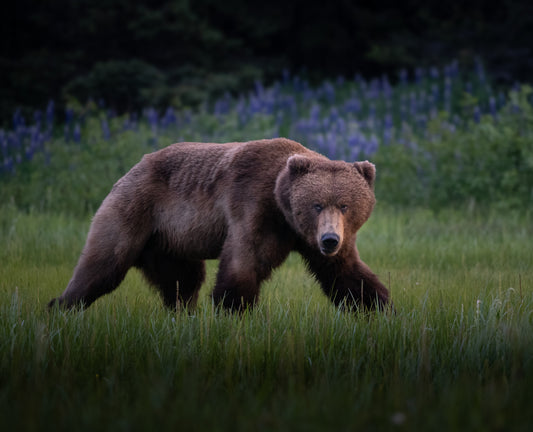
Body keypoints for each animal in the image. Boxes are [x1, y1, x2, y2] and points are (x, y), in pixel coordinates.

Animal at [48, 140, 390, 312]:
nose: (330, 239)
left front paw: (380, 308)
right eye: (316, 204)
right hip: (135, 210)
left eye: (345, 205)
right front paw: (233, 309)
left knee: (182, 280)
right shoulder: (254, 206)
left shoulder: (311, 237)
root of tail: (128, 171)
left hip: (169, 240)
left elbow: (346, 274)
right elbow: (245, 260)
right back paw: (61, 306)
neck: (284, 211)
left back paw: (184, 313)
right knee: (103, 265)